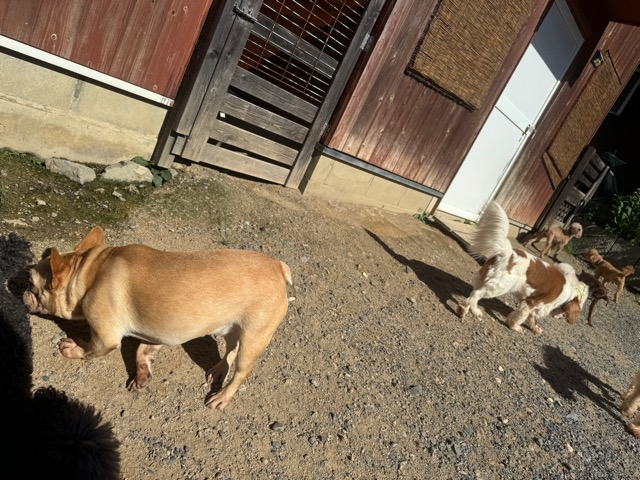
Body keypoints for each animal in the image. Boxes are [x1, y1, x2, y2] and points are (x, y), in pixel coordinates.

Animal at [24, 226, 292, 411]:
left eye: (32, 284)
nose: (23, 292)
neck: (88, 272)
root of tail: (278, 267)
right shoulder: (158, 333)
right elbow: (141, 350)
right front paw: (142, 372)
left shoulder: (104, 337)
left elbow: (91, 349)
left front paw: (72, 348)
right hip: (232, 329)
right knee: (231, 350)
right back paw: (218, 369)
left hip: (254, 338)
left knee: (241, 371)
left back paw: (222, 396)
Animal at [458, 201, 588, 335]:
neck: (568, 294)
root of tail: (507, 253)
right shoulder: (531, 303)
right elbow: (520, 317)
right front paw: (515, 327)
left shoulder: (533, 306)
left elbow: (531, 318)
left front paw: (535, 328)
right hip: (499, 287)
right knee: (475, 295)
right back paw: (468, 311)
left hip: (483, 279)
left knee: (473, 294)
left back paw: (470, 310)